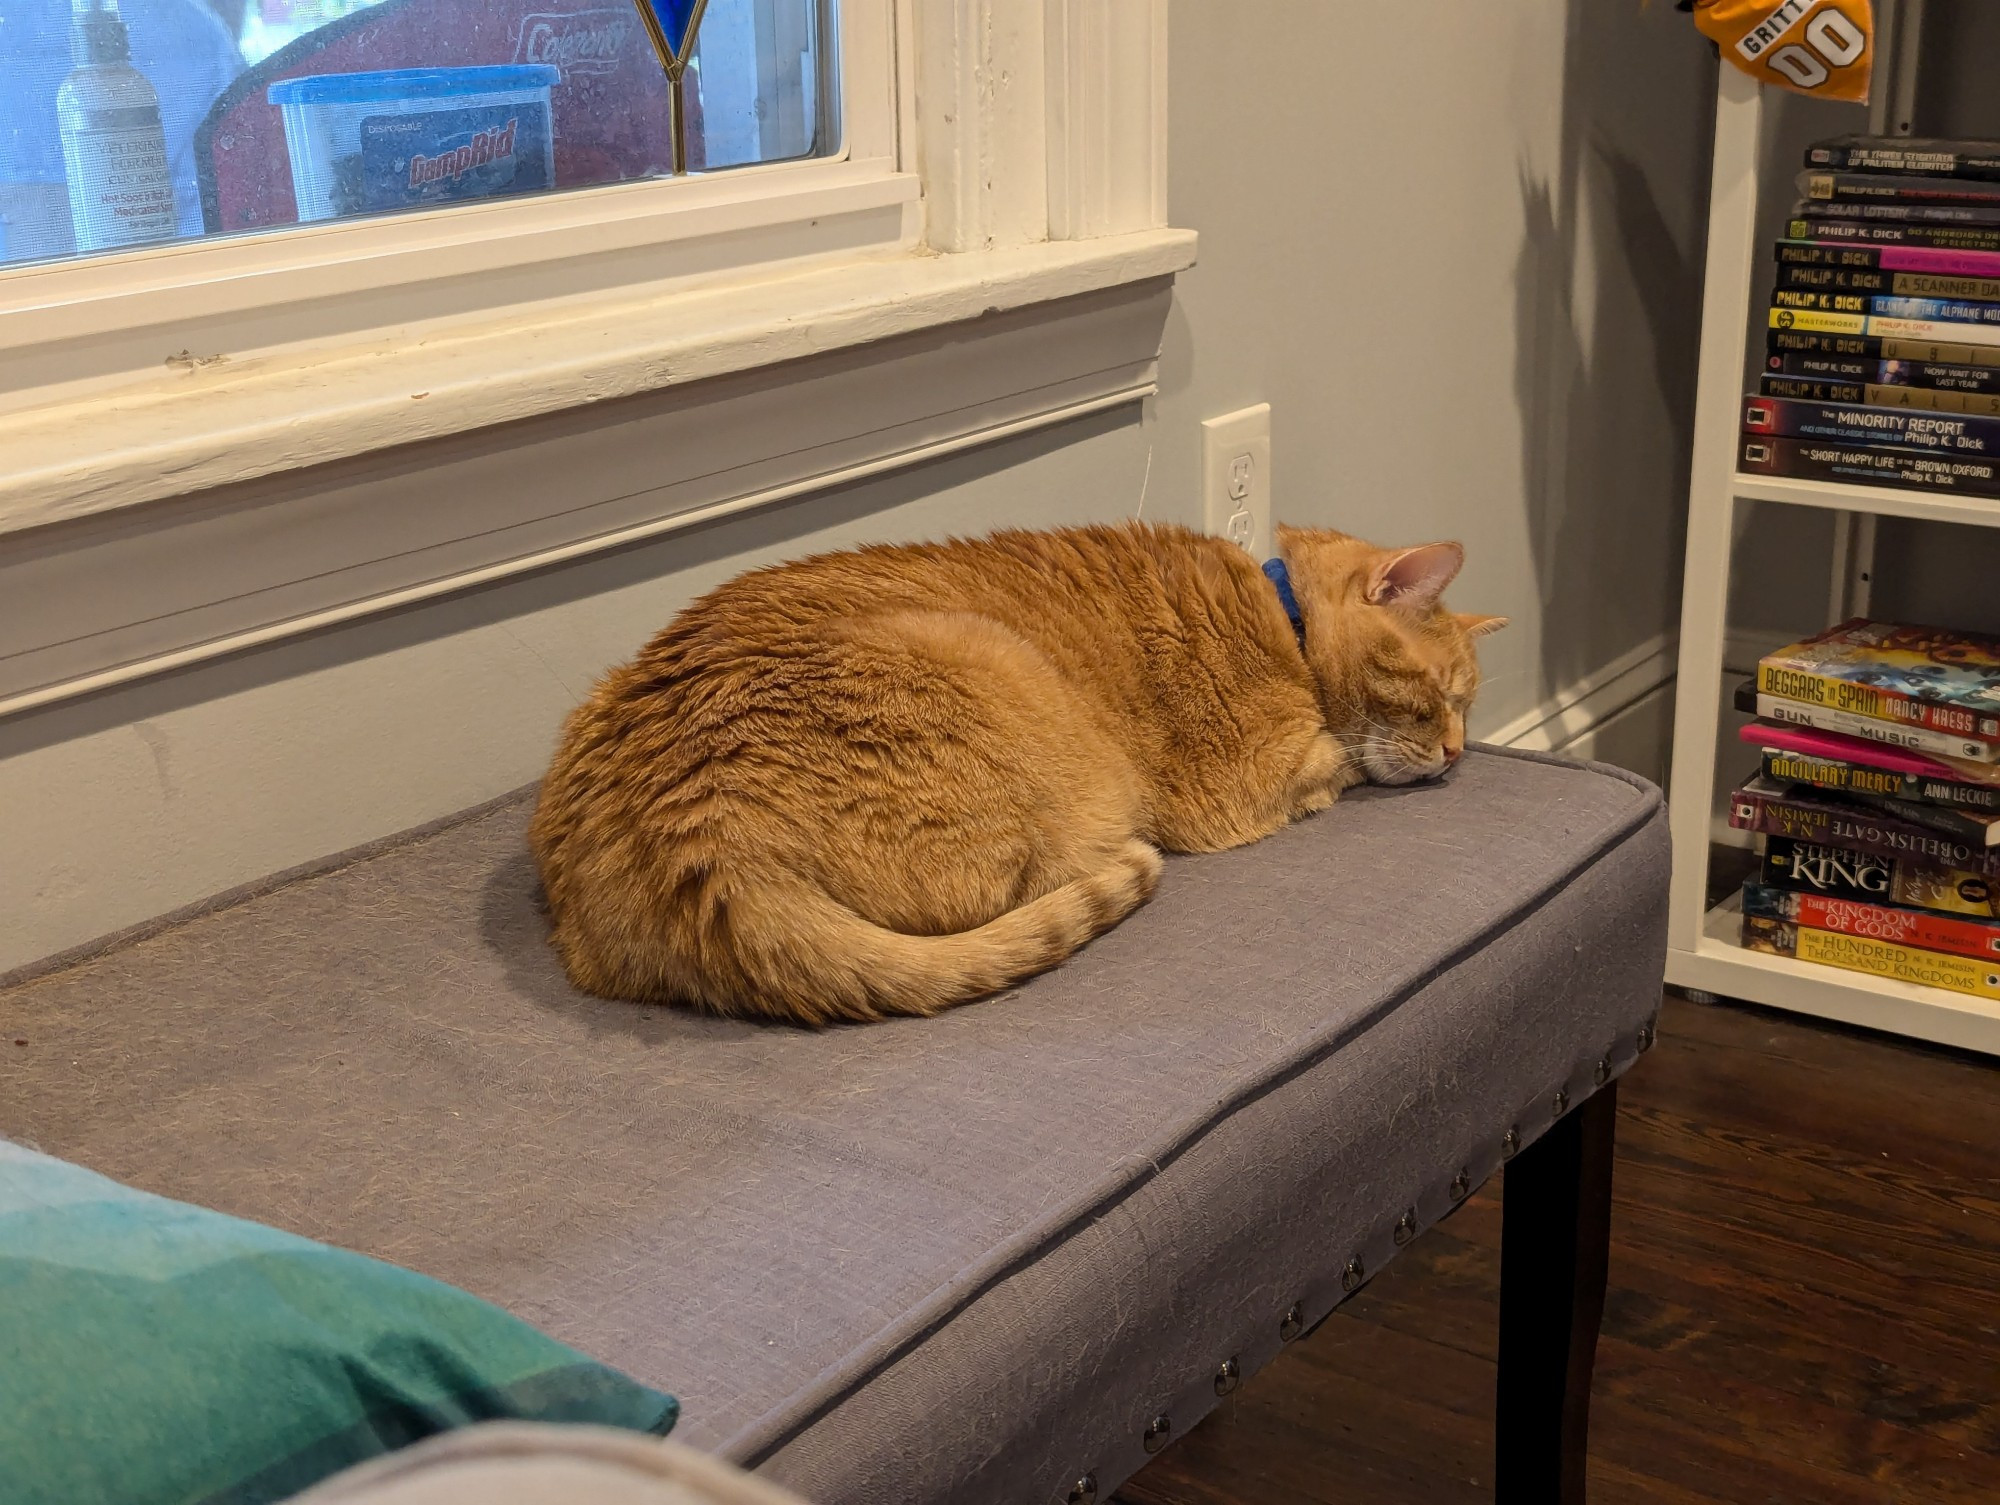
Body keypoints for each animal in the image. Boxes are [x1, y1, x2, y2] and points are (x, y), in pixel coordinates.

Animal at [532, 524, 1504, 1032]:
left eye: (1470, 707)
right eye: (1441, 698)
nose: (1460, 753)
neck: (1281, 614)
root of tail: (696, 842)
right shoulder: (1255, 782)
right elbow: (1341, 762)